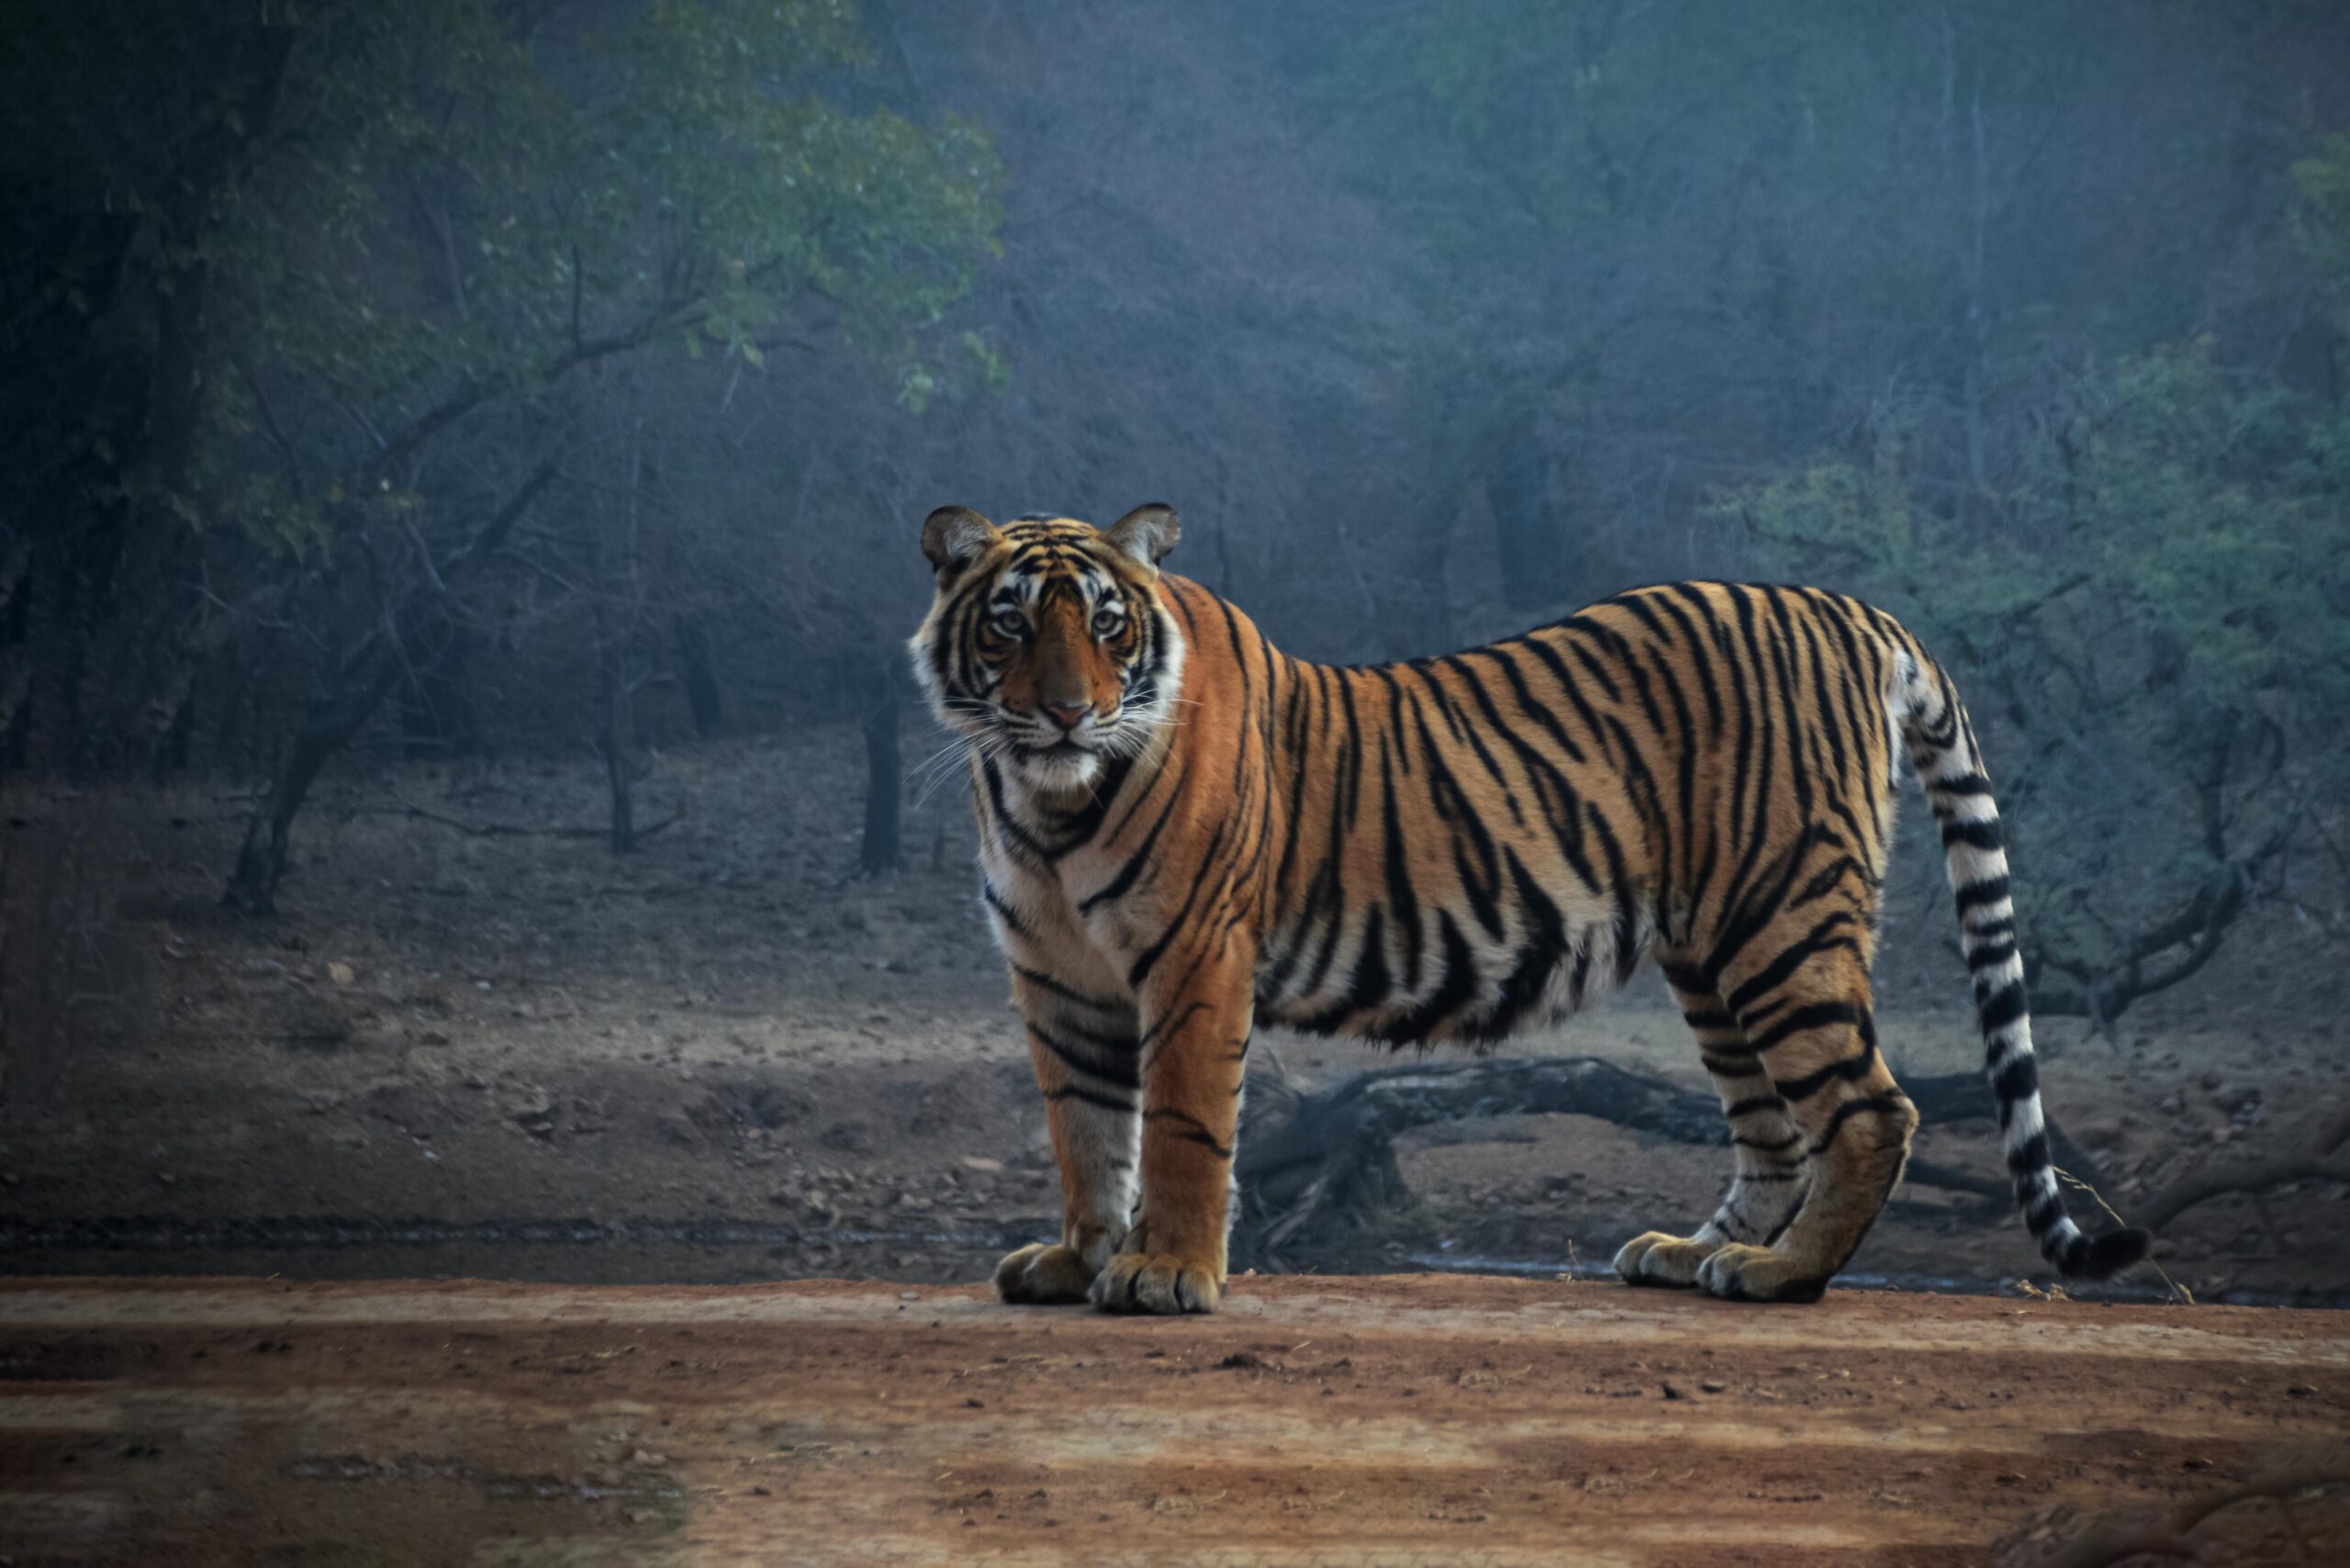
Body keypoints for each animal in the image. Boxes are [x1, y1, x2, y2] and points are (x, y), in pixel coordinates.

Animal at [909, 502, 2150, 1313]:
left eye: (1108, 625)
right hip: (1714, 953)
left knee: (1869, 1108)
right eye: (1011, 624)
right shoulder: (1059, 976)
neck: (1045, 801)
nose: (1068, 713)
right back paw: (1687, 1253)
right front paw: (1076, 1262)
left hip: (1782, 921)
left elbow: (1175, 1126)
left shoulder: (1194, 958)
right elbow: (1085, 1129)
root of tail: (1850, 610)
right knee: (1769, 1130)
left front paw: (1164, 1272)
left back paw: (1782, 1275)